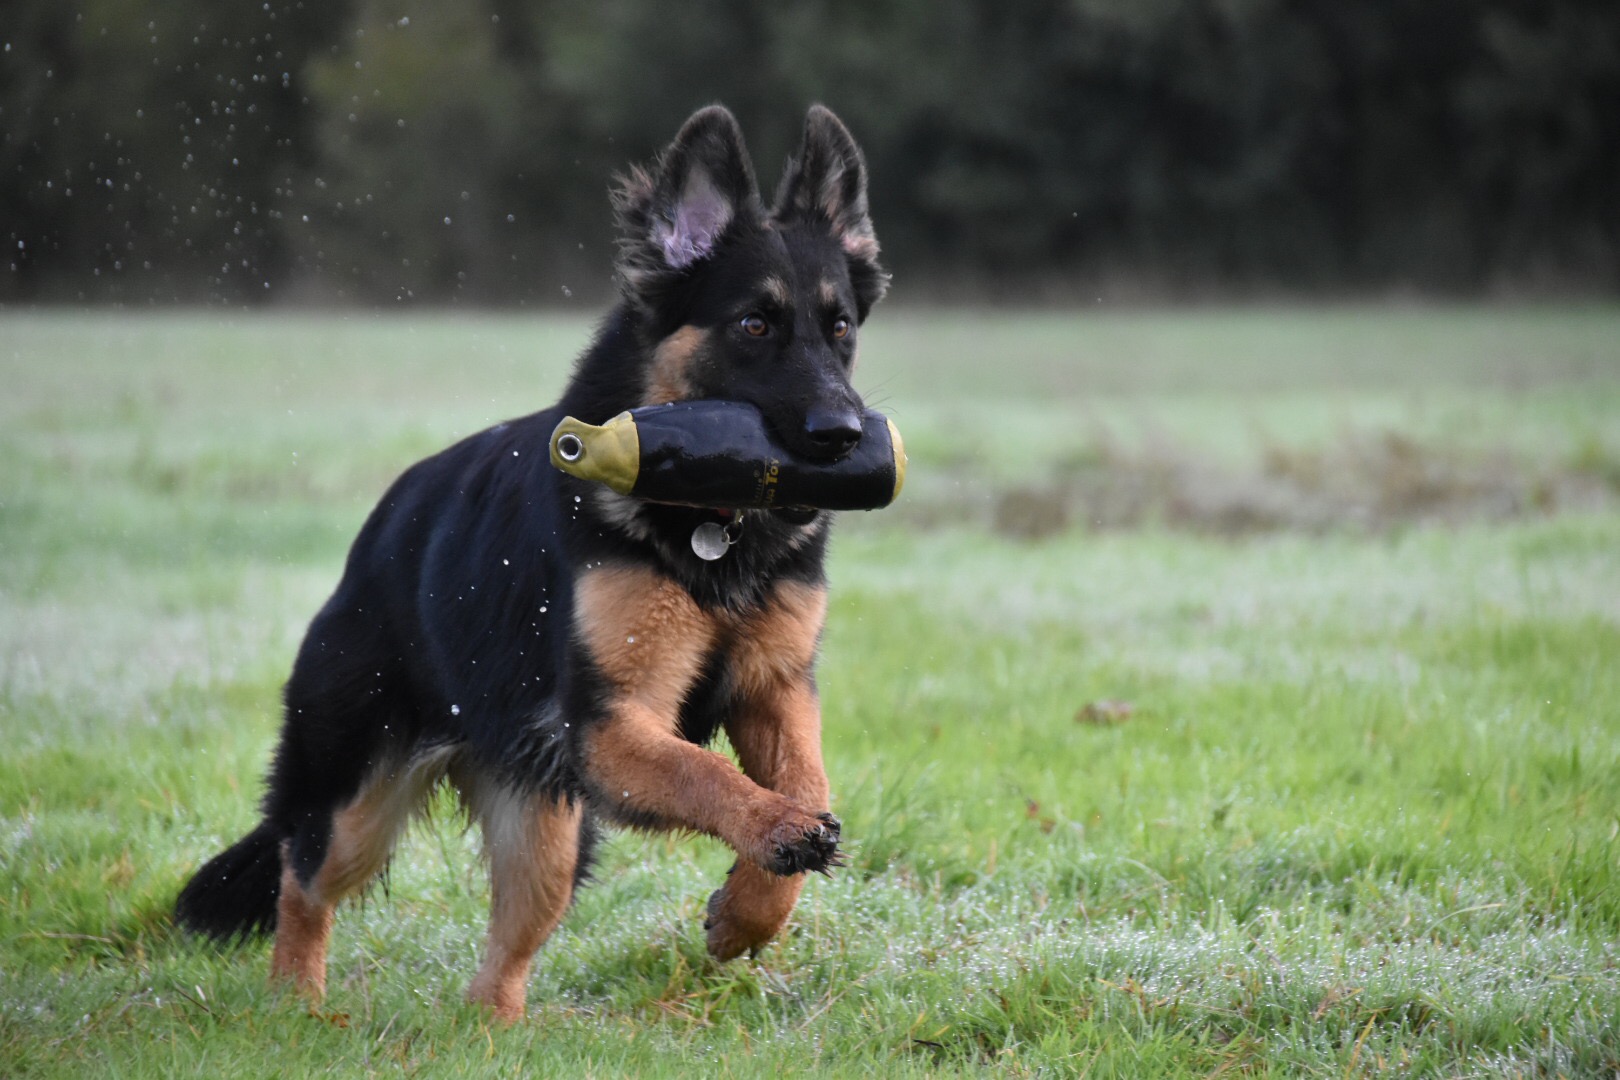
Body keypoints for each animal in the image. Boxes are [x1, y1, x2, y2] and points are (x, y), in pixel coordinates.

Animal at [175, 105, 887, 1029]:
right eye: (755, 325)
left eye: (841, 330)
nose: (844, 434)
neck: (712, 529)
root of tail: (380, 533)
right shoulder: (611, 723)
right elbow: (707, 773)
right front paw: (773, 838)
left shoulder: (774, 689)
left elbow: (808, 782)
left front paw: (747, 913)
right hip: (359, 801)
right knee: (304, 876)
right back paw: (297, 999)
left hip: (548, 829)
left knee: (504, 950)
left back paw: (494, 1032)